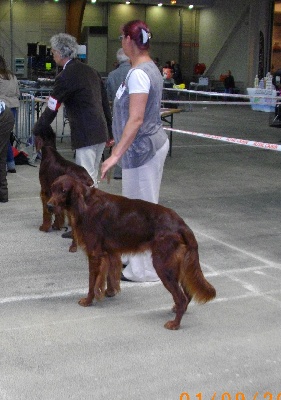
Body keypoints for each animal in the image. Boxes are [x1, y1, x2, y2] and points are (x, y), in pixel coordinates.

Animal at [47, 173, 215, 330]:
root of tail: (181, 224)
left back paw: (174, 324)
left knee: (181, 297)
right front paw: (109, 292)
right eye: (52, 189)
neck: (85, 202)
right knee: (187, 293)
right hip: (175, 264)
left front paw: (88, 300)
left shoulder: (94, 253)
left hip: (163, 264)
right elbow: (109, 275)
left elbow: (92, 282)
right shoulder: (110, 252)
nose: (48, 206)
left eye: (63, 191)